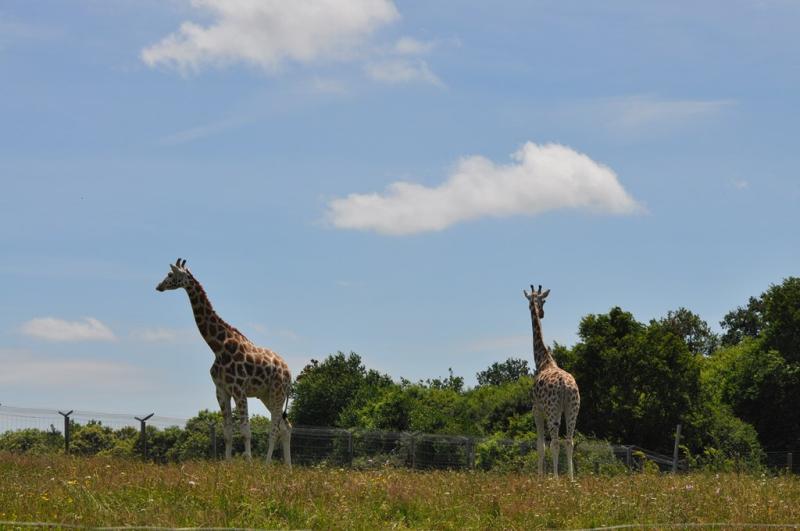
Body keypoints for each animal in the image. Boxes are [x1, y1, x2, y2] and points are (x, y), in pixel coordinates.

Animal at [156, 258, 292, 466]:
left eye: (171, 274)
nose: (159, 286)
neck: (217, 347)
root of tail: (289, 373)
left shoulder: (239, 389)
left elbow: (245, 430)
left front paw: (248, 465)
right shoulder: (221, 391)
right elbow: (227, 432)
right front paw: (227, 465)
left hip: (277, 392)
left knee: (275, 429)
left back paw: (266, 465)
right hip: (266, 395)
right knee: (286, 426)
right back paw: (288, 468)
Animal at [523, 284, 580, 480]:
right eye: (542, 301)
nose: (541, 313)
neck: (543, 361)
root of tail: (564, 385)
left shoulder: (536, 409)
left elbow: (540, 446)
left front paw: (540, 477)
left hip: (552, 409)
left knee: (555, 442)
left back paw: (555, 479)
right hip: (572, 408)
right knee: (569, 440)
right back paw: (571, 479)